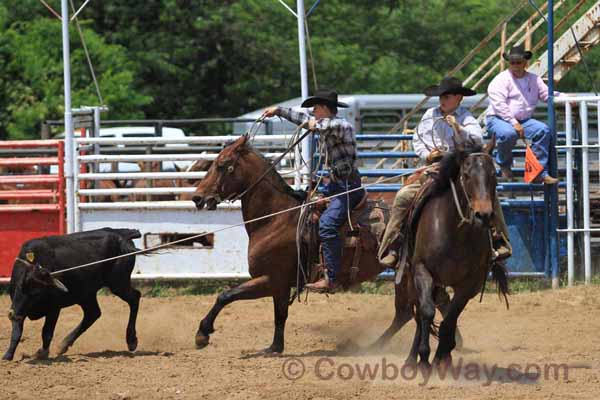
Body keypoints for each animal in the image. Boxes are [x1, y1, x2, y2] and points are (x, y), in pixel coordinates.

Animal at [190, 136, 458, 354]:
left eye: (222, 165)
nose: (197, 198)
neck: (276, 218)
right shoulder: (280, 285)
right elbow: (280, 315)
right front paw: (275, 347)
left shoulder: (271, 279)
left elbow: (226, 295)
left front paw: (202, 334)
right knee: (418, 309)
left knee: (417, 309)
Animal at [370, 139, 506, 368]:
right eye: (466, 175)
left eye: (493, 174)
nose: (484, 215)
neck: (455, 232)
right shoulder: (422, 271)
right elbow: (427, 312)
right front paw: (425, 359)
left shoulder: (470, 284)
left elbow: (449, 319)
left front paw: (442, 357)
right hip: (410, 278)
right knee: (415, 314)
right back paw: (411, 360)